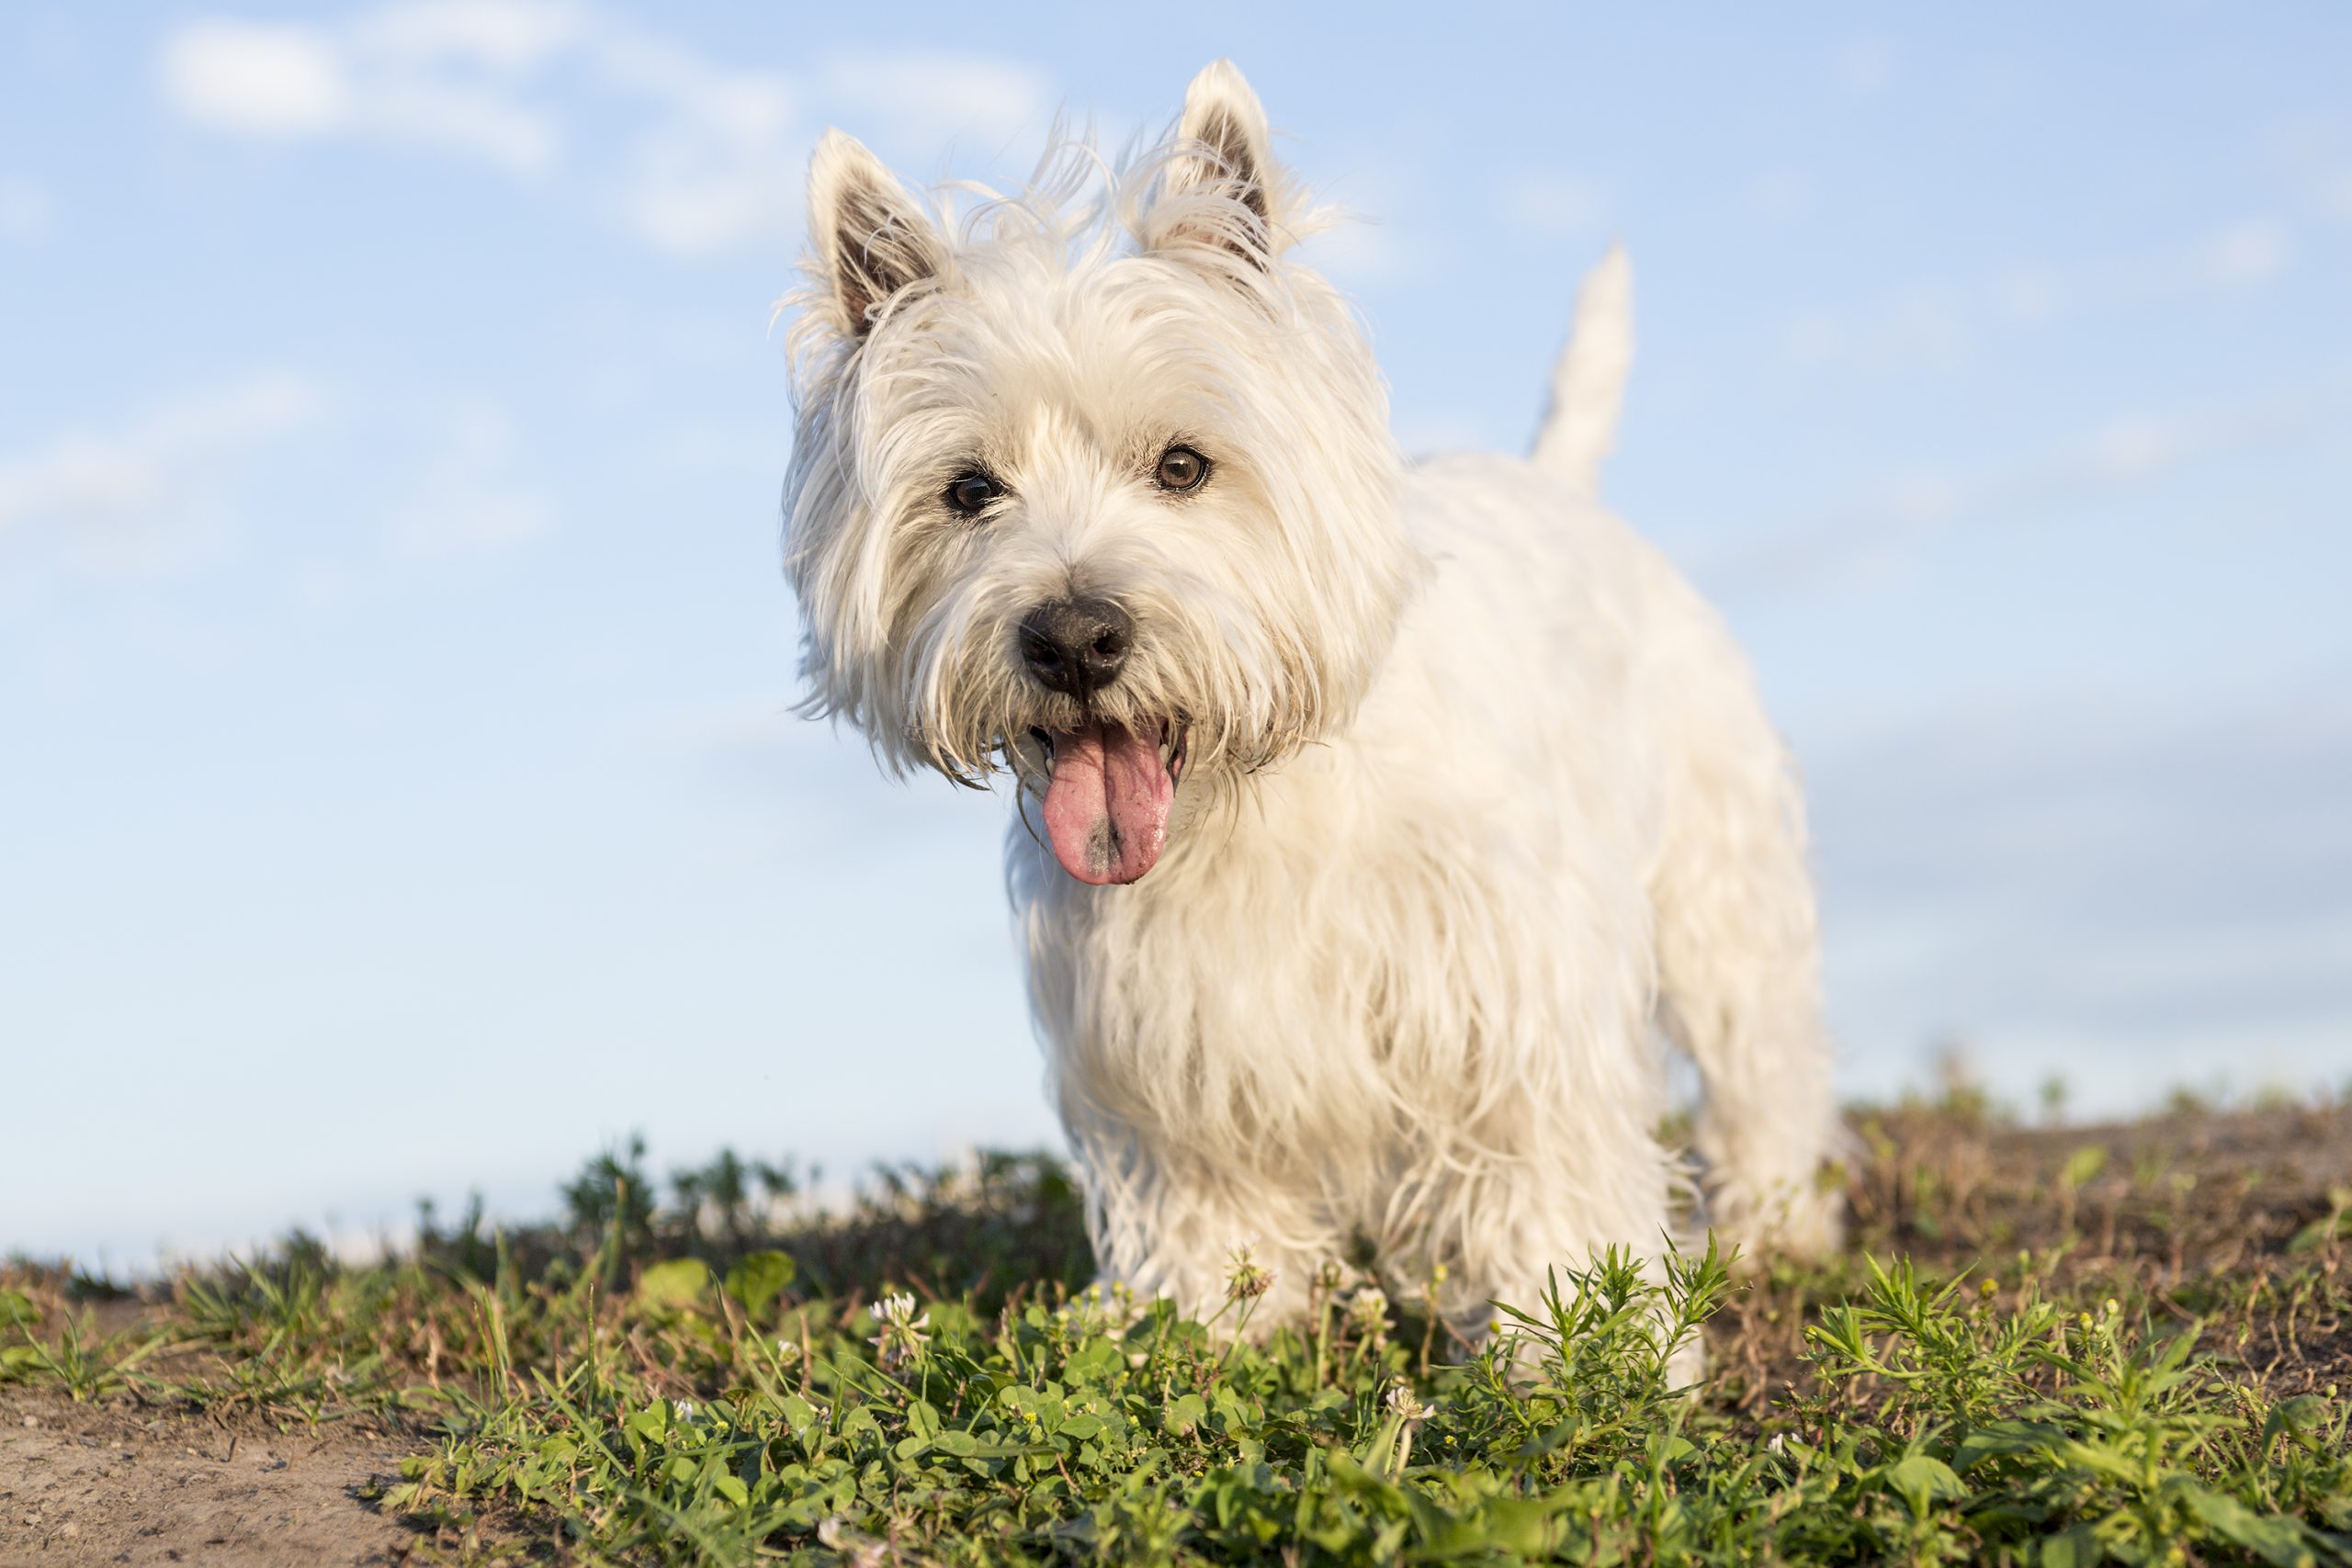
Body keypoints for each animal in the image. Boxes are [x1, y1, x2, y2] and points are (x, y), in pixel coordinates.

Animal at [780, 58, 1844, 1335]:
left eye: (1183, 465)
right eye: (969, 490)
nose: (1075, 640)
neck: (1249, 802)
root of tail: (1555, 483)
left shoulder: (1511, 1014)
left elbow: (1548, 1189)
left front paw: (1581, 1343)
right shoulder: (1166, 1059)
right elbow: (1210, 1225)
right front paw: (1207, 1336)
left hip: (1718, 891)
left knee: (1760, 1066)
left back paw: (1778, 1228)